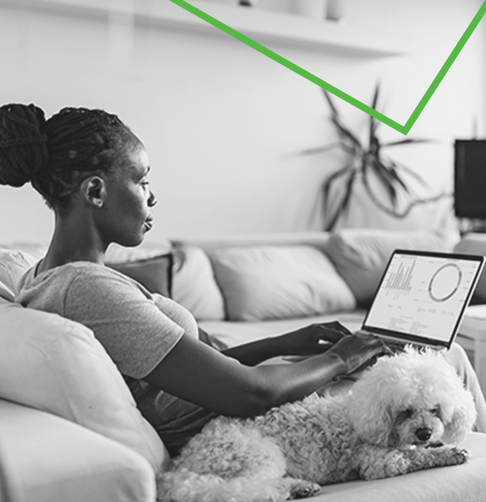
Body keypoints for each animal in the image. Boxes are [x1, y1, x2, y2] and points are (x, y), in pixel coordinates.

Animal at [159, 350, 474, 502]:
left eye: (434, 409)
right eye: (405, 411)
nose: (424, 432)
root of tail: (181, 464)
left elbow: (420, 450)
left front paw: (437, 444)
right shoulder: (378, 461)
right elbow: (415, 457)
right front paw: (447, 453)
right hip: (258, 454)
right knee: (245, 489)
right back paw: (294, 489)